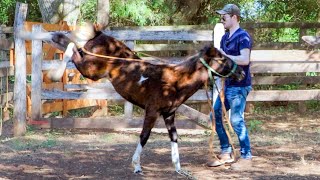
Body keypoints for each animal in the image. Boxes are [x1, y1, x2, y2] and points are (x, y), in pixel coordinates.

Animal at [18, 23, 245, 175]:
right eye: (222, 58)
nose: (242, 73)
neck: (175, 81)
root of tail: (100, 35)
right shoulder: (152, 112)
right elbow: (144, 136)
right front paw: (136, 166)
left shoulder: (169, 114)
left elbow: (174, 138)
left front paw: (179, 169)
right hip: (91, 68)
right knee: (71, 49)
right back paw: (55, 73)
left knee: (68, 43)